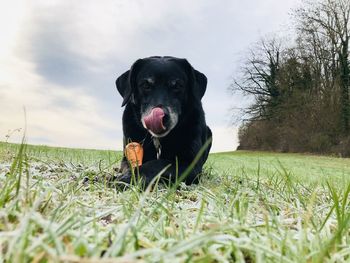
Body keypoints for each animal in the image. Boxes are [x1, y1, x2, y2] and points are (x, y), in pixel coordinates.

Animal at [116, 56, 212, 188]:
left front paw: (130, 177)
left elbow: (159, 164)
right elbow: (128, 165)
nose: (162, 117)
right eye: (146, 85)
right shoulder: (127, 154)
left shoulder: (191, 165)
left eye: (178, 86)